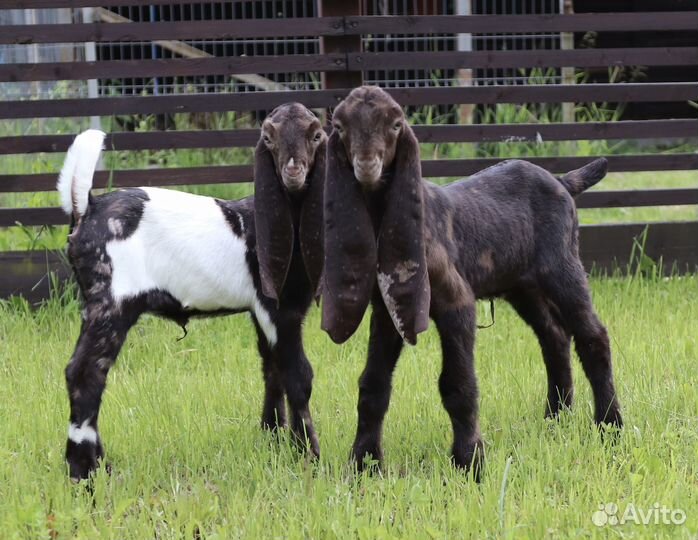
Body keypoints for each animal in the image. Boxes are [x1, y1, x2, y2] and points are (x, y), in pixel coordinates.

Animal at [58, 103, 326, 481]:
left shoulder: (260, 310)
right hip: (111, 300)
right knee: (85, 372)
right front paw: (310, 457)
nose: (293, 171)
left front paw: (274, 442)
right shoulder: (280, 308)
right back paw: (85, 472)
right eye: (268, 137)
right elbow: (298, 376)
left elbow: (271, 368)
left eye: (316, 135)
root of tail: (87, 207)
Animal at [322, 86, 623, 479]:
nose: (367, 166)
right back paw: (556, 418)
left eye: (397, 124)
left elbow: (457, 384)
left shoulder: (456, 302)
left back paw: (609, 425)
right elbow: (373, 384)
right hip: (521, 285)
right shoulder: (388, 310)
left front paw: (469, 462)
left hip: (562, 266)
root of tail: (561, 181)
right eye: (340, 126)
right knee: (555, 337)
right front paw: (363, 464)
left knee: (592, 336)